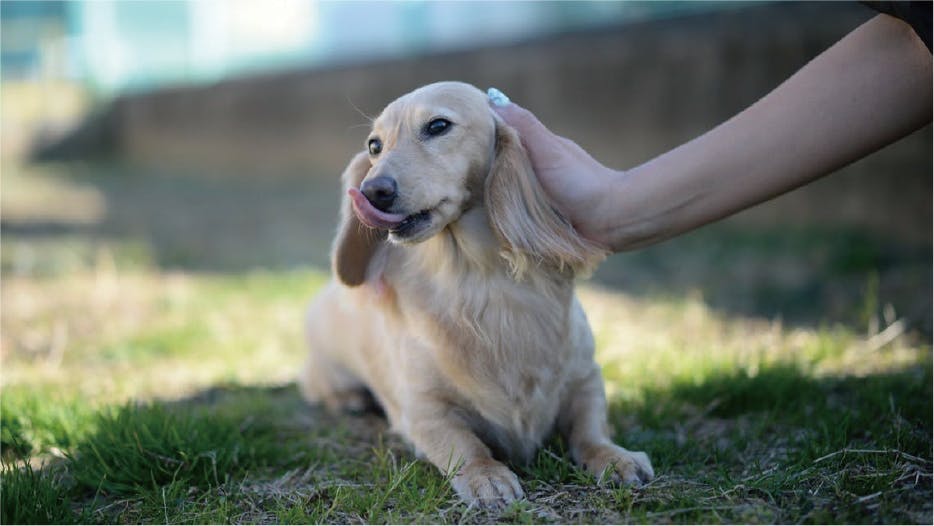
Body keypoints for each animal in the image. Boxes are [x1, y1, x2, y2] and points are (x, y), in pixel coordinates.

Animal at [304, 82, 656, 512]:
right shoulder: (424, 410)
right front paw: (486, 476)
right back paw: (348, 399)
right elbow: (464, 445)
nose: (372, 191)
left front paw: (615, 457)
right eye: (374, 146)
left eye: (438, 125)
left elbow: (590, 430)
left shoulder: (585, 378)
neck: (475, 279)